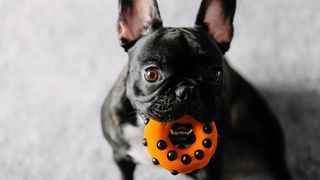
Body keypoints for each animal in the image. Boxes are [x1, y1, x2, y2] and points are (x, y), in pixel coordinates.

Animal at [100, 0, 292, 179]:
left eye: (214, 74)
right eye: (151, 74)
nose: (187, 90)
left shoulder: (210, 167)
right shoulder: (120, 157)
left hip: (264, 124)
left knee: (276, 156)